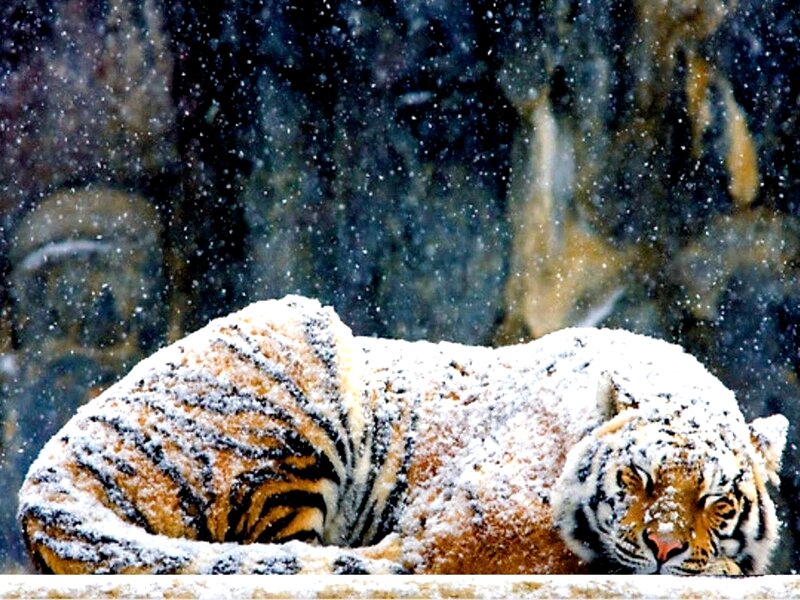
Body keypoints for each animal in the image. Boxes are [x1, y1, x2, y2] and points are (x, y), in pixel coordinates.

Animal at [17, 295, 788, 575]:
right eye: (637, 480)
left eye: (717, 502)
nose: (664, 548)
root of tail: (45, 478)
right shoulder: (460, 526)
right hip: (305, 350)